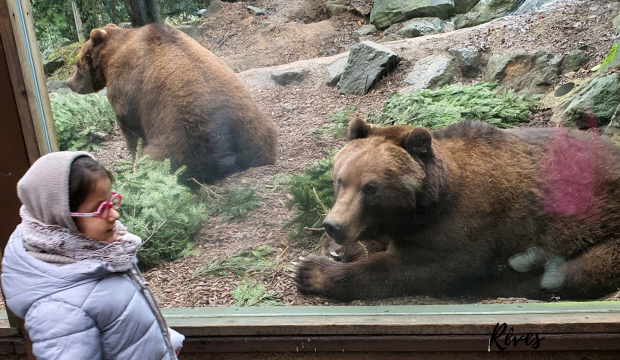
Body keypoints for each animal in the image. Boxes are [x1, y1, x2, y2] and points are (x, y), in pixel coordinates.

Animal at [66, 23, 278, 183]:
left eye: (77, 63)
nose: (69, 83)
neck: (110, 58)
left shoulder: (128, 88)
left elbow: (131, 130)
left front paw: (131, 162)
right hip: (256, 127)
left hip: (179, 141)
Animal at [294, 118, 620, 300]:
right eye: (340, 180)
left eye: (371, 188)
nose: (333, 225)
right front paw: (333, 251)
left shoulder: (462, 225)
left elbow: (414, 269)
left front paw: (312, 272)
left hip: (601, 229)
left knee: (579, 269)